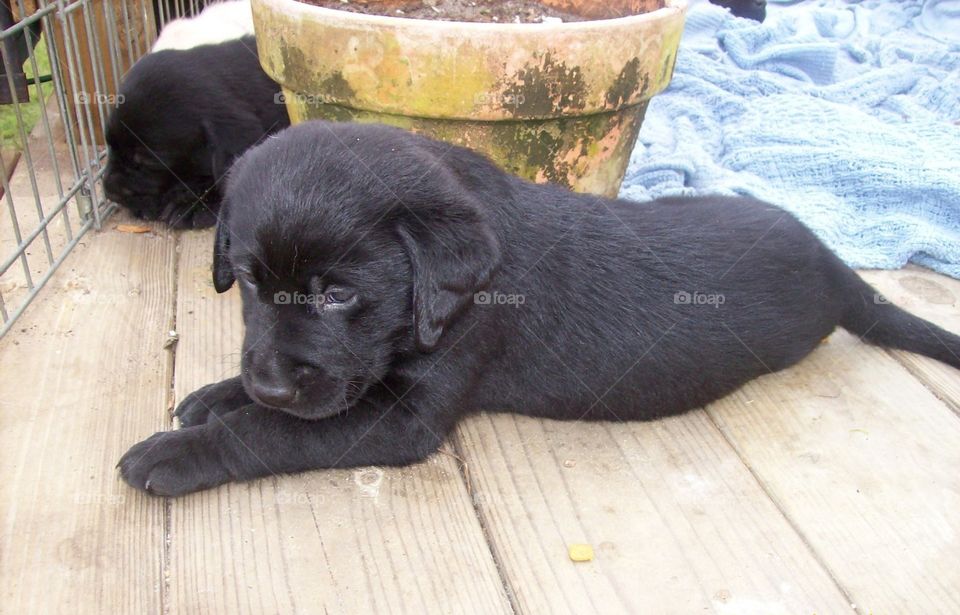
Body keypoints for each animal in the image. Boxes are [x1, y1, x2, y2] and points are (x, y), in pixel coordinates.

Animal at [116, 120, 956, 496]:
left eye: (339, 292)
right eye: (248, 279)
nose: (268, 381)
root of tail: (829, 258)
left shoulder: (404, 413)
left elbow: (278, 430)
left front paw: (173, 451)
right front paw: (218, 393)